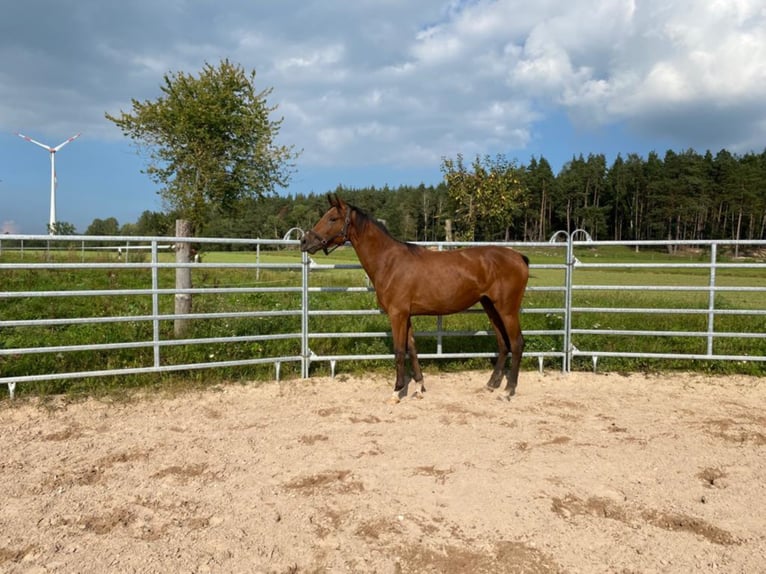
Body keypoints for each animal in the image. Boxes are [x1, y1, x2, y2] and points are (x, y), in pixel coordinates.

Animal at [298, 196, 528, 408]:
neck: (389, 262)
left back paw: (508, 391)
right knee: (503, 344)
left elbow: (400, 351)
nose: (304, 242)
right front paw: (418, 387)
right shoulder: (406, 315)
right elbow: (412, 349)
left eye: (332, 218)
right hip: (490, 307)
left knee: (516, 343)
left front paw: (396, 391)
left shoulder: (397, 314)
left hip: (507, 310)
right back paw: (491, 385)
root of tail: (519, 257)